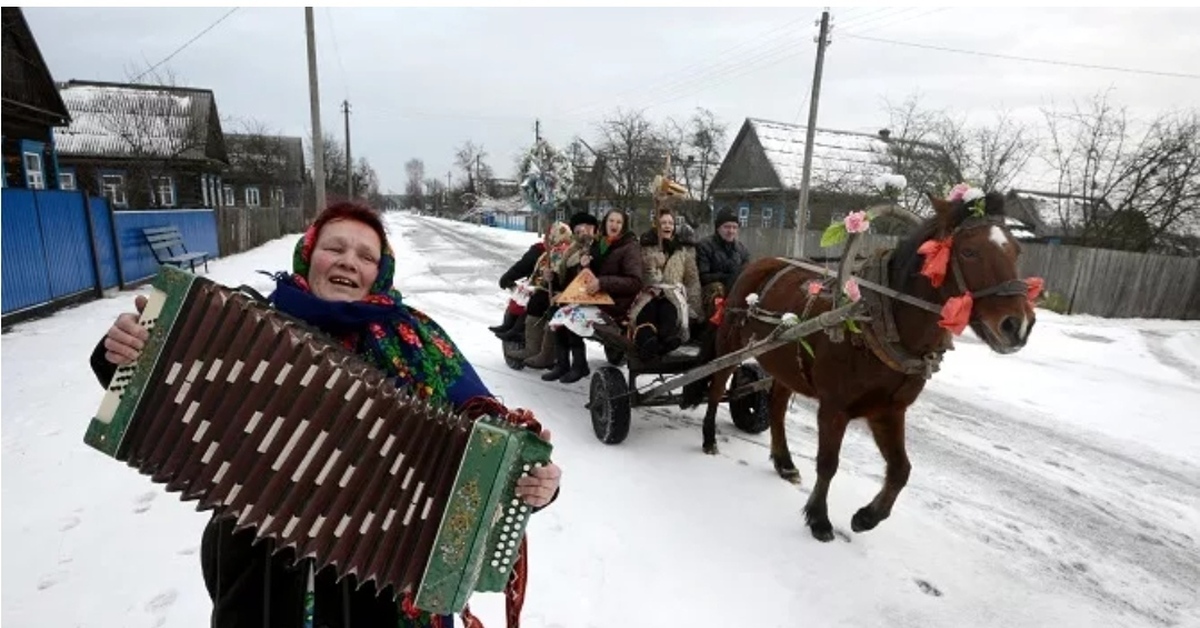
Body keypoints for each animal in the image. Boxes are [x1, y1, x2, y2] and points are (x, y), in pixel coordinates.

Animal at [700, 189, 1036, 542]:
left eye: (1016, 249)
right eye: (969, 251)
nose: (1018, 325)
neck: (880, 319)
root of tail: (763, 261)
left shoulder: (889, 410)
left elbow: (901, 470)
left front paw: (867, 516)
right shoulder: (834, 408)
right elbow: (828, 463)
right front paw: (819, 519)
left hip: (785, 362)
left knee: (776, 406)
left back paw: (784, 462)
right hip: (730, 342)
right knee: (717, 386)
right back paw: (709, 438)